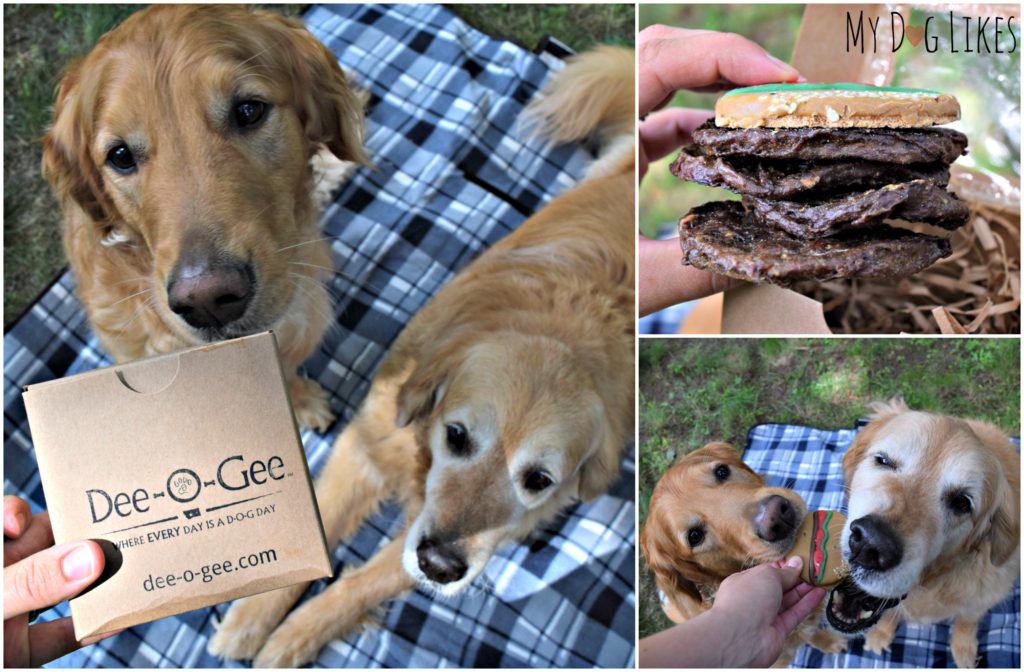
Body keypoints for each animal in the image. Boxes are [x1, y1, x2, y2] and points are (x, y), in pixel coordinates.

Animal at [204, 47, 634, 667]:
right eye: (457, 436)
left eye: (539, 479)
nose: (441, 566)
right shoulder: (365, 446)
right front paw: (251, 618)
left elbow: (361, 582)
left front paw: (291, 638)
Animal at [831, 399, 1015, 667]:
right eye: (883, 460)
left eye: (962, 503)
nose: (868, 545)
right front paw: (880, 635)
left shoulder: (983, 597)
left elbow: (966, 621)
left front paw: (964, 649)